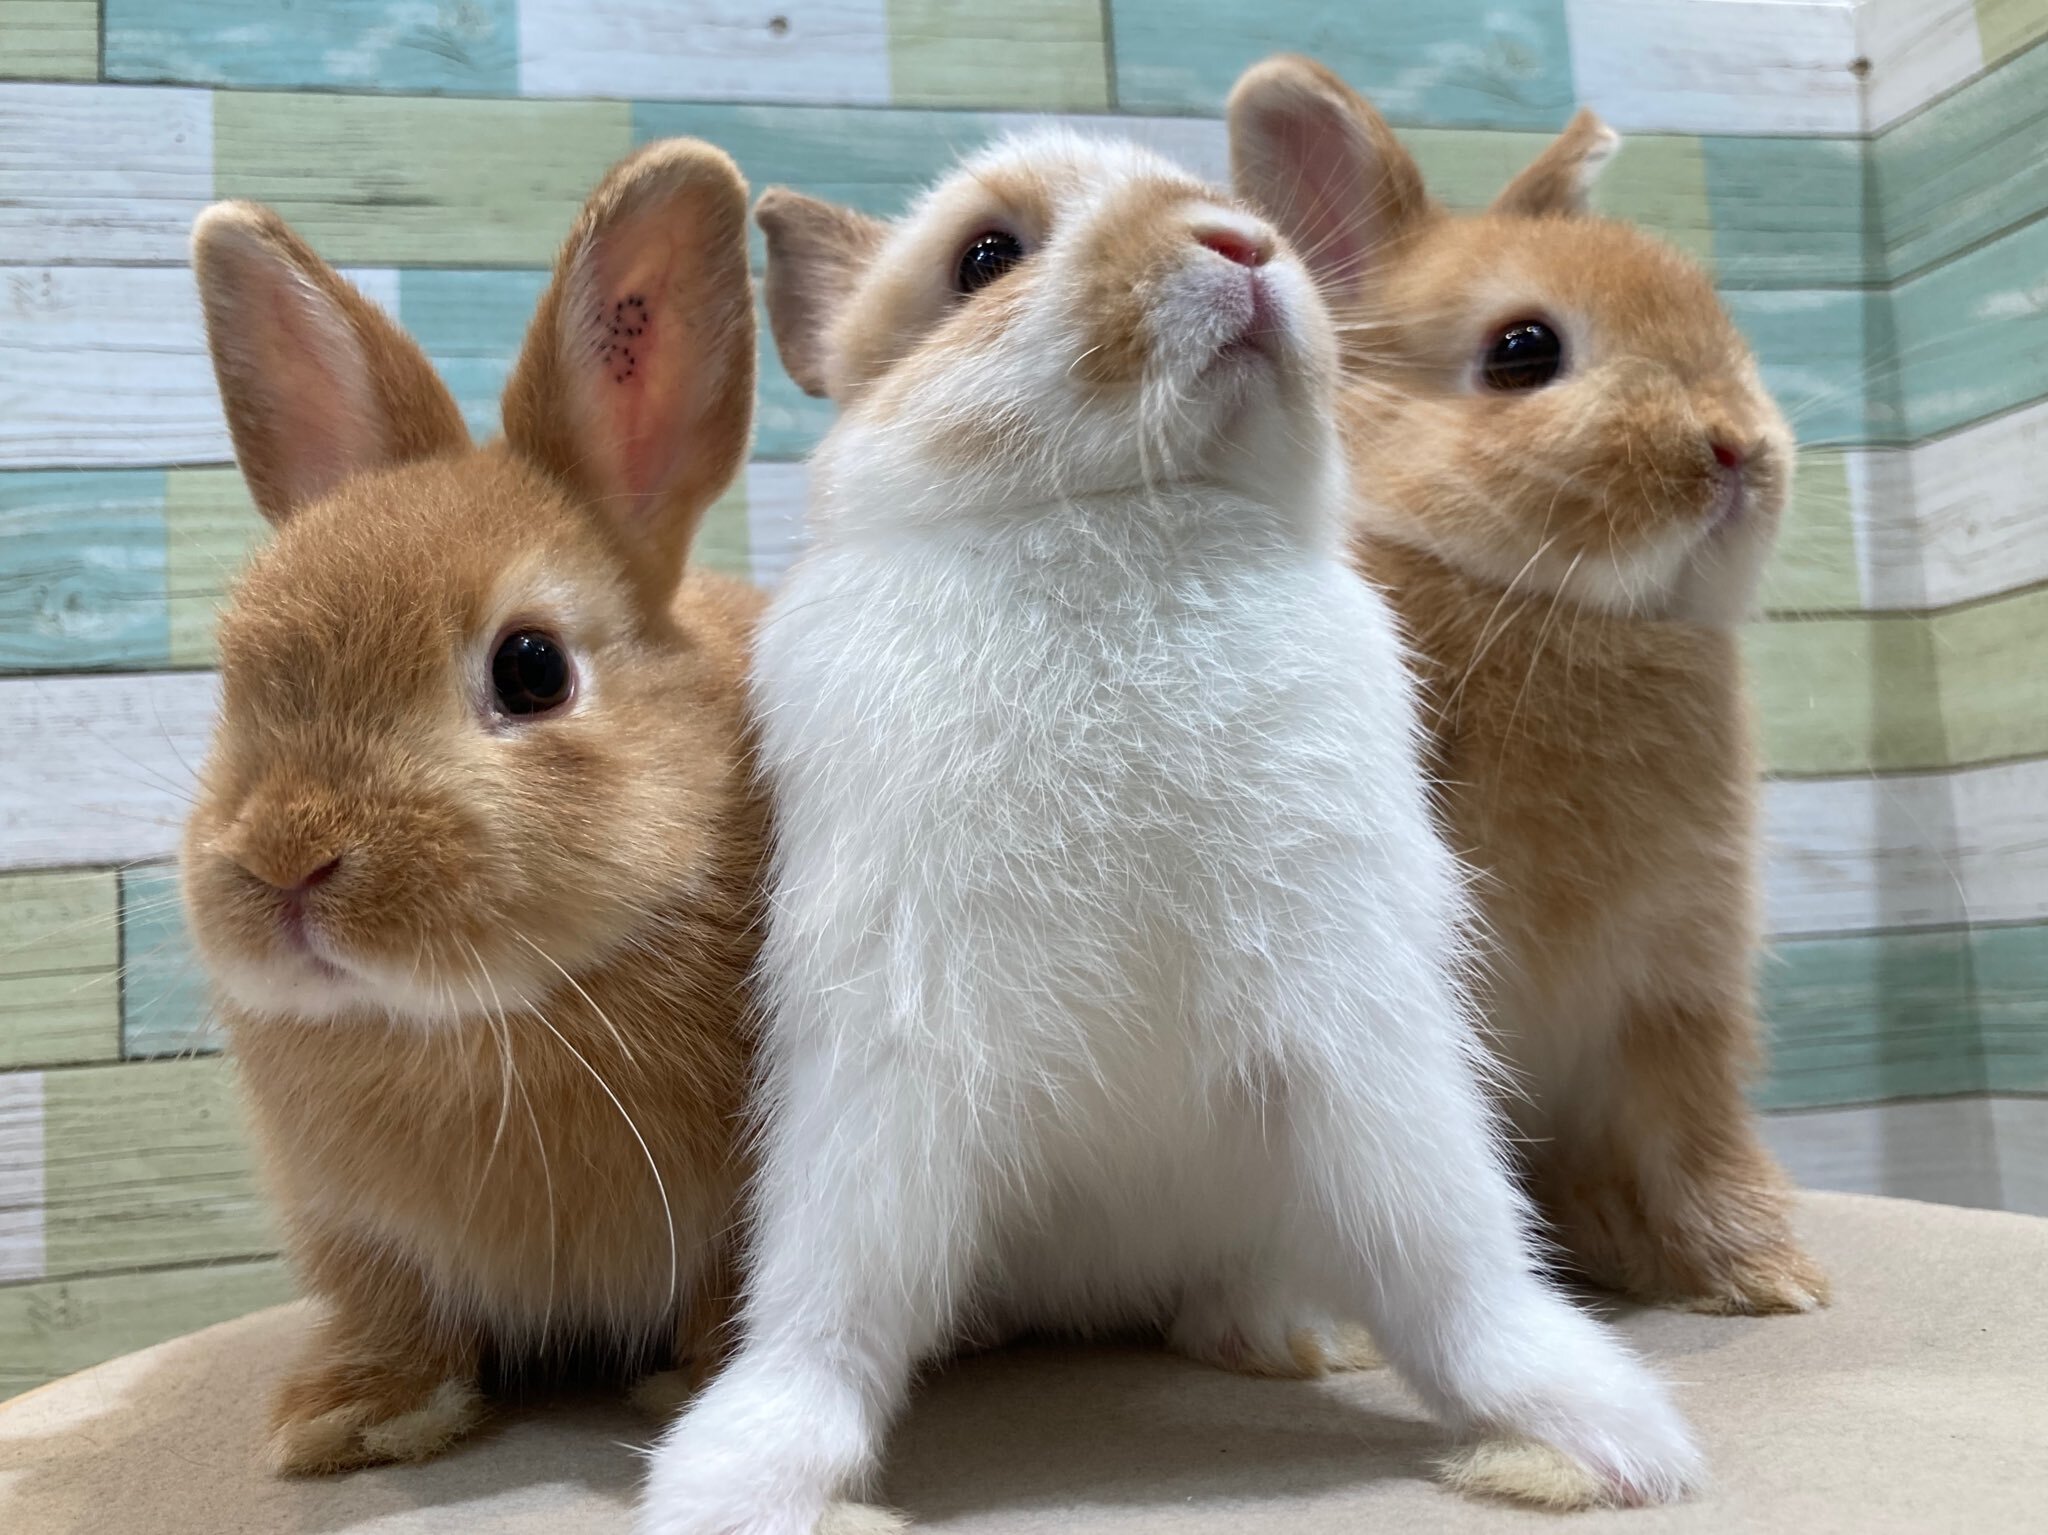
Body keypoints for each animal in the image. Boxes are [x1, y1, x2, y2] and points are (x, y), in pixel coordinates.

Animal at [178, 138, 765, 1475]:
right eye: (233, 678)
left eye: (532, 668)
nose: (287, 860)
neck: (477, 1017)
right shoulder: (365, 1236)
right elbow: (401, 1317)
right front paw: (347, 1418)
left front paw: (694, 1380)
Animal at [635, 129, 1704, 1535]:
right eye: (984, 257)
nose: (1241, 243)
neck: (1130, 512)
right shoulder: (892, 1059)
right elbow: (834, 1299)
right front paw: (738, 1477)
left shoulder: (1359, 1034)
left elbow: (1451, 1259)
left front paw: (1611, 1434)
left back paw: (1273, 1332)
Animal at [1227, 55, 1828, 1317]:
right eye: (1519, 352)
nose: (1736, 448)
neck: (1551, 611)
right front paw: (1308, 1327)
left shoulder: (1673, 998)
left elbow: (1694, 1136)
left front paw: (1763, 1275)